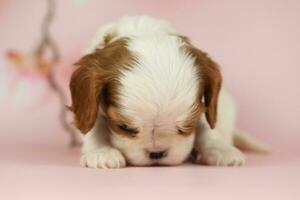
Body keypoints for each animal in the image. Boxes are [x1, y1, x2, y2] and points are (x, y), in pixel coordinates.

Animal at [68, 16, 270, 169]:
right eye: (124, 127)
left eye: (188, 126)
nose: (157, 153)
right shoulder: (90, 103)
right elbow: (93, 126)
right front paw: (100, 152)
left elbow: (207, 127)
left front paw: (220, 149)